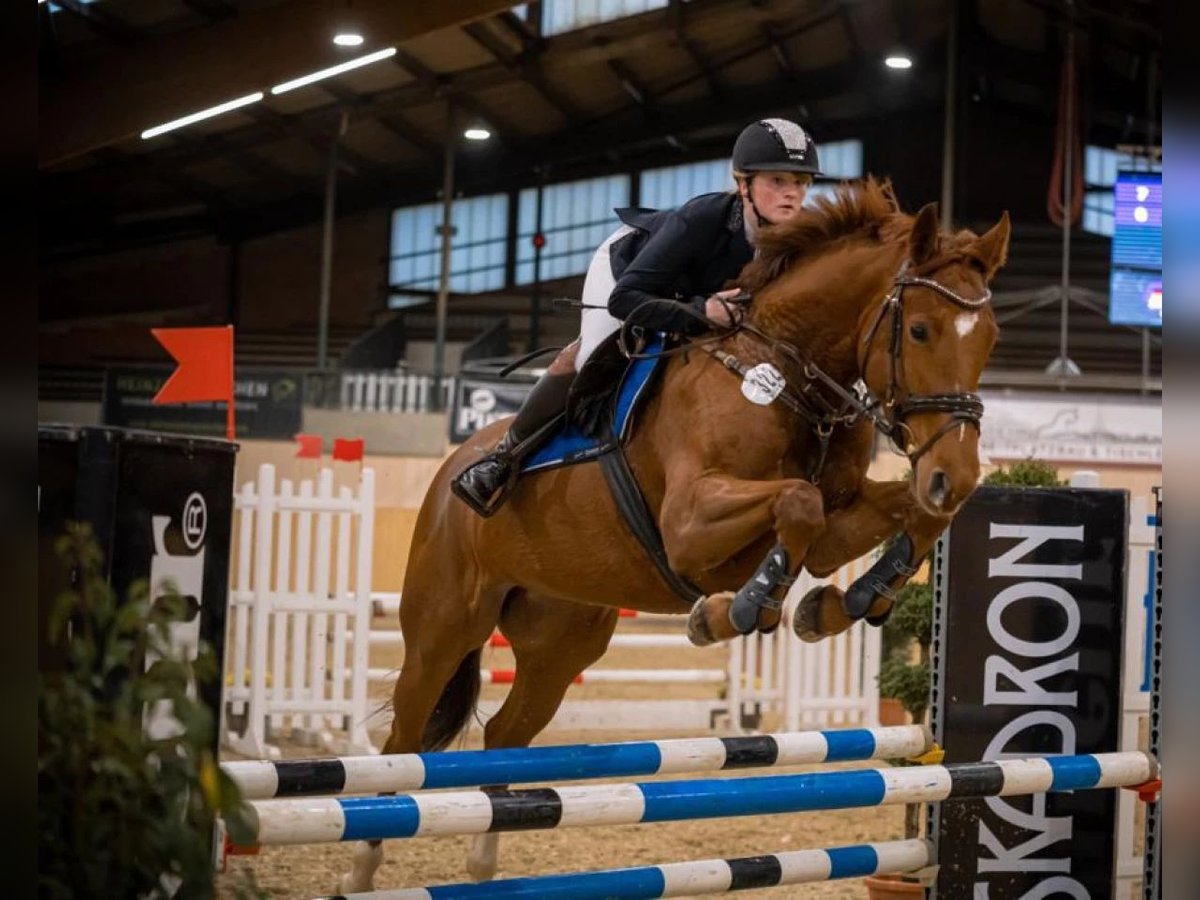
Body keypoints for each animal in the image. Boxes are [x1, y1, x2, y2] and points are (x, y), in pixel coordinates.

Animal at [343, 180, 1008, 892]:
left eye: (990, 339)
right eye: (919, 330)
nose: (956, 476)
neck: (785, 369)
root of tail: (450, 470)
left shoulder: (839, 522)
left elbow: (902, 516)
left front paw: (842, 603)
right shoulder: (691, 525)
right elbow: (797, 504)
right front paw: (734, 612)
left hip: (562, 641)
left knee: (503, 737)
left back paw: (485, 867)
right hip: (444, 625)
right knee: (403, 740)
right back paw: (363, 868)